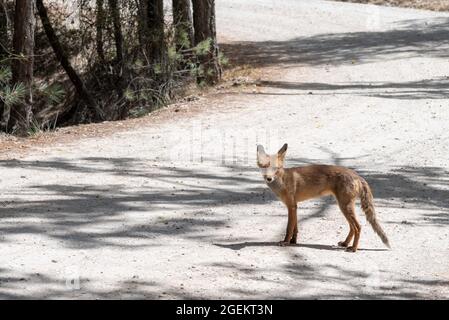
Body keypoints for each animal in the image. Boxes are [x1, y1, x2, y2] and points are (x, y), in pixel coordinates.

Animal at [258, 143, 390, 252]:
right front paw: (293, 242)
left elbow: (289, 228)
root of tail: (357, 175)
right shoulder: (294, 206)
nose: (269, 178)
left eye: (275, 169)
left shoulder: (291, 206)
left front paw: (285, 242)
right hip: (344, 207)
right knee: (353, 228)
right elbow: (295, 228)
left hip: (344, 206)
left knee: (358, 227)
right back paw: (345, 243)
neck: (283, 180)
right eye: (264, 167)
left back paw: (353, 248)